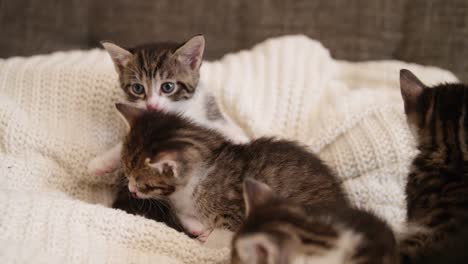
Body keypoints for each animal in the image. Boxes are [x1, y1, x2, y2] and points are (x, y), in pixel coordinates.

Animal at [114, 103, 348, 241]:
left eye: (143, 183)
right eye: (125, 171)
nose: (131, 189)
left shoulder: (233, 213)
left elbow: (222, 236)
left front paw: (208, 241)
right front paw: (197, 227)